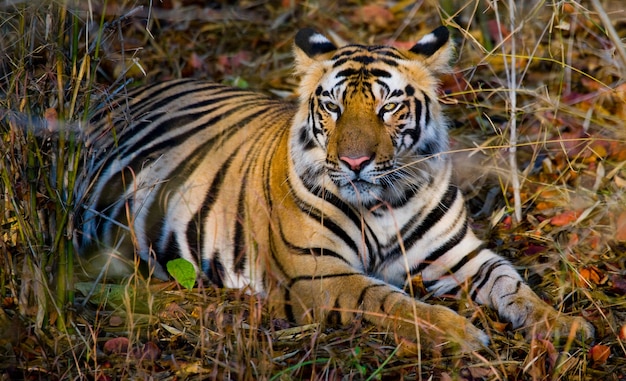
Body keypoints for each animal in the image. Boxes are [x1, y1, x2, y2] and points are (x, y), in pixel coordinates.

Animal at [75, 26, 592, 350]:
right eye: (333, 107)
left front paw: (564, 326)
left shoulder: (460, 255)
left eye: (388, 107)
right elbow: (389, 301)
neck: (385, 204)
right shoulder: (316, 274)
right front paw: (460, 332)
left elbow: (512, 283)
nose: (355, 162)